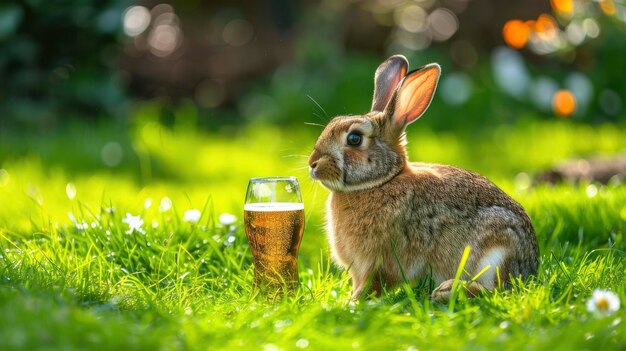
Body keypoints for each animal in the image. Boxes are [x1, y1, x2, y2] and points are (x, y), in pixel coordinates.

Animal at [308, 55, 536, 302]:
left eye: (354, 138)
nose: (313, 164)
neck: (383, 181)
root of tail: (531, 267)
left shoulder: (378, 263)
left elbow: (372, 285)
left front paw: (352, 302)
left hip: (495, 252)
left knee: (495, 290)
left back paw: (447, 291)